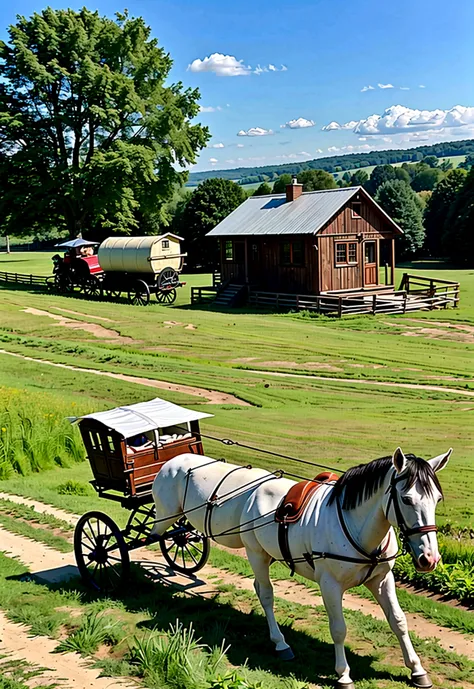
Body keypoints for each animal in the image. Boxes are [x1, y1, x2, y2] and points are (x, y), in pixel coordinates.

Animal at [152, 446, 452, 688]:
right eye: (407, 499)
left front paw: (416, 669)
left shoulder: (381, 578)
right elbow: (339, 628)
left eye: (437, 499)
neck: (354, 525)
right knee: (266, 594)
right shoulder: (330, 585)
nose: (429, 558)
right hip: (254, 552)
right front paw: (343, 674)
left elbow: (399, 621)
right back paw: (280, 642)